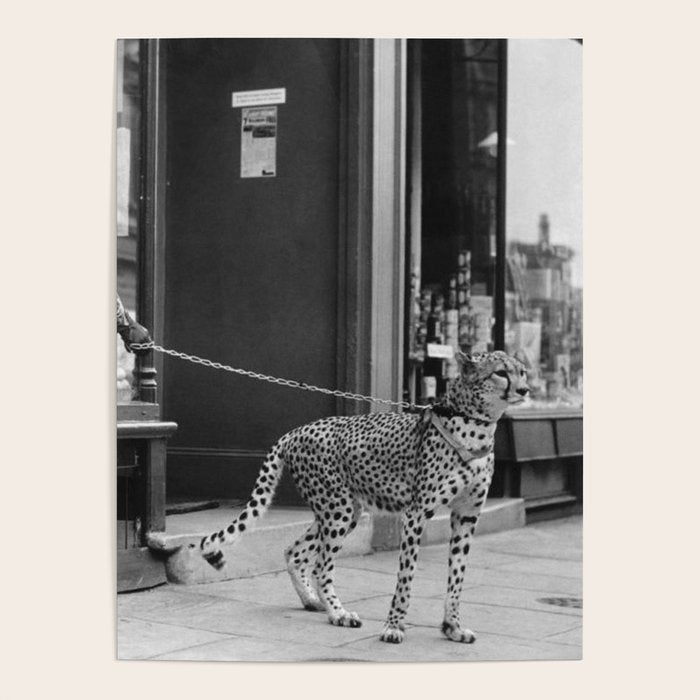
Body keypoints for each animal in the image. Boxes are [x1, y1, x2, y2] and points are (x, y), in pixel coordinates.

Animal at [200, 350, 529, 644]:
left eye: (523, 371)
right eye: (501, 372)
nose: (525, 389)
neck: (475, 424)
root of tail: (296, 431)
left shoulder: (466, 515)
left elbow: (457, 577)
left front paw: (452, 628)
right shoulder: (416, 514)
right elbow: (406, 576)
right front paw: (393, 627)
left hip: (343, 512)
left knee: (295, 551)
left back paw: (313, 601)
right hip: (338, 510)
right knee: (321, 566)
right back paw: (338, 613)